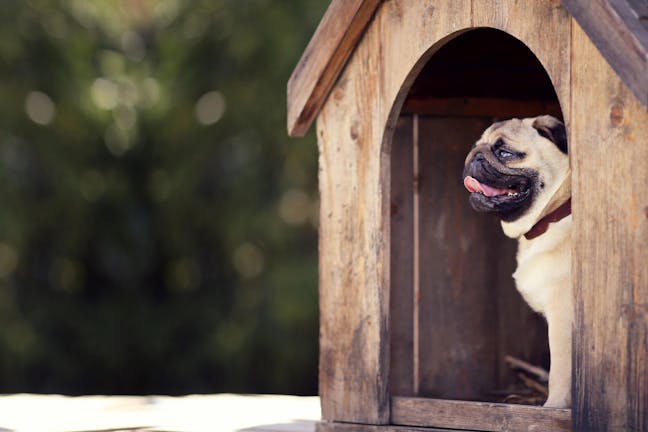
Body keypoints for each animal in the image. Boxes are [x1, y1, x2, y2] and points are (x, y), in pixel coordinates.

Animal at [460, 115, 572, 408]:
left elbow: (560, 373)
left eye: (505, 154)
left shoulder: (562, 317)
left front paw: (554, 408)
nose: (475, 156)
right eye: (476, 147)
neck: (552, 215)